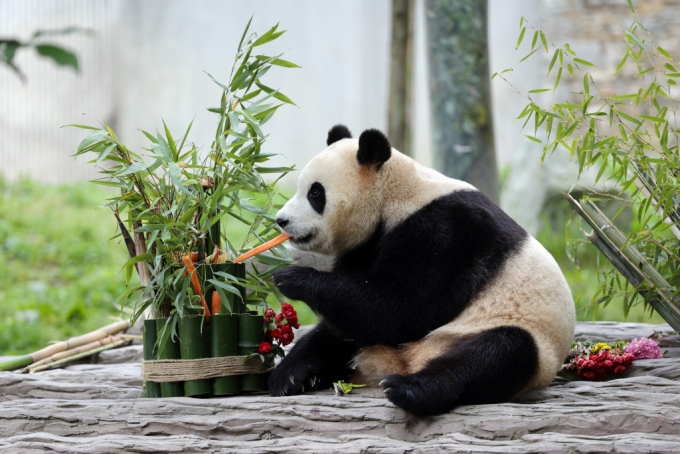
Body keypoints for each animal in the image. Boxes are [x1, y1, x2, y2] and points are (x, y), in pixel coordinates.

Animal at [270, 124, 572, 414]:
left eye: (315, 193)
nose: (281, 220)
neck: (394, 196)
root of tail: (407, 360)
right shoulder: (366, 247)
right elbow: (359, 309)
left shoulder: (447, 232)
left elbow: (402, 307)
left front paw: (292, 278)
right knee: (334, 335)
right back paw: (290, 375)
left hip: (519, 336)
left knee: (498, 353)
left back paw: (410, 390)